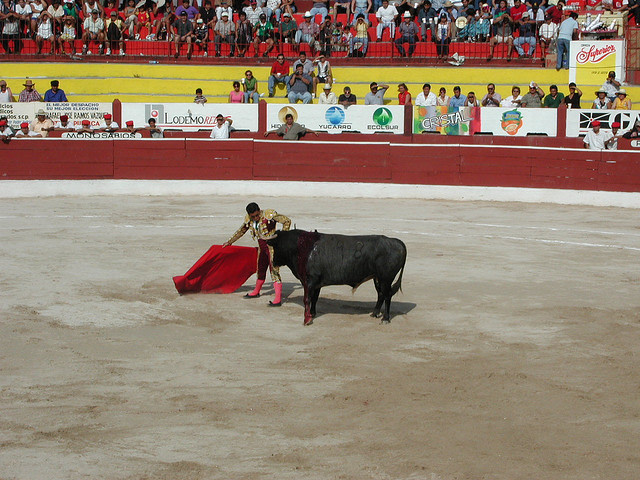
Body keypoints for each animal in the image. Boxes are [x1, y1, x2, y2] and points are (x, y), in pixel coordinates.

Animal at [266, 229, 407, 326]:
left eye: (276, 245)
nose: (274, 262)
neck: (302, 247)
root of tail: (396, 242)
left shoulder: (309, 281)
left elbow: (307, 299)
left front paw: (306, 320)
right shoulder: (316, 284)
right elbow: (314, 299)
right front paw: (312, 314)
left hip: (386, 278)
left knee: (387, 295)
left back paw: (385, 318)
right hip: (377, 278)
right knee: (381, 294)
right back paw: (374, 313)